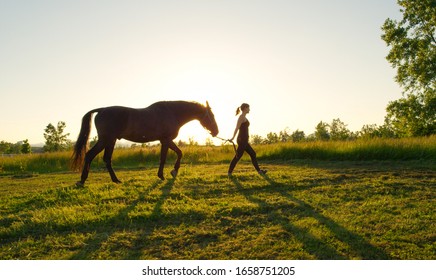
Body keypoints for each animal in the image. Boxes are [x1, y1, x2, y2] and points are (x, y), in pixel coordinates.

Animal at [73, 99, 220, 185]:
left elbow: (171, 155)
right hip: (105, 140)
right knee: (90, 155)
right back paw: (83, 179)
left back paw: (115, 180)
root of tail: (102, 110)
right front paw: (170, 172)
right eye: (211, 116)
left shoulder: (165, 141)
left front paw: (166, 174)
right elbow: (172, 155)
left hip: (111, 141)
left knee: (106, 159)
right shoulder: (166, 140)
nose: (216, 131)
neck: (172, 113)